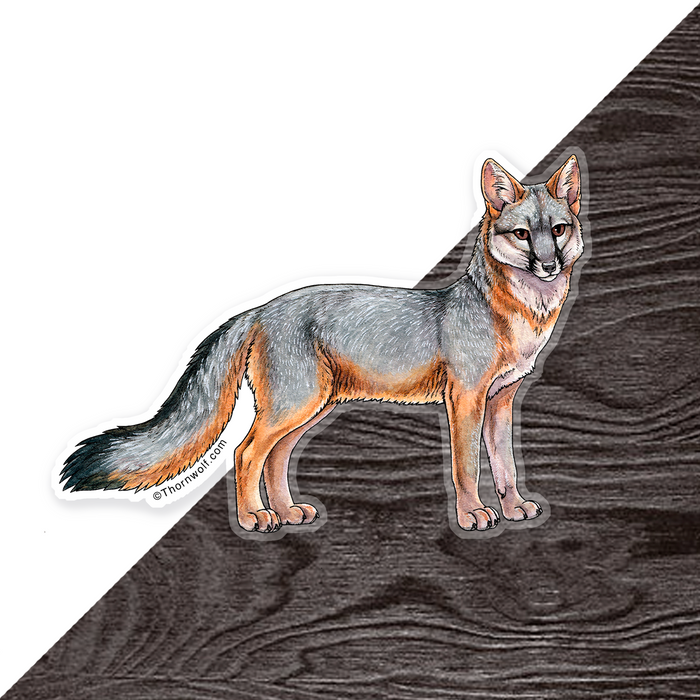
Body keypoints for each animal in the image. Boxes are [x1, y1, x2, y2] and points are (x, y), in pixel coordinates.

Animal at [60, 156, 584, 533]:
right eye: (522, 234)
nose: (549, 266)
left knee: (273, 460)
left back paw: (287, 513)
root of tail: (260, 309)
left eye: (558, 231)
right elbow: (467, 467)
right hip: (294, 406)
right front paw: (472, 514)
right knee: (245, 454)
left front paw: (514, 508)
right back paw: (253, 518)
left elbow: (506, 465)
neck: (515, 321)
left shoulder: (501, 401)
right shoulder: (466, 400)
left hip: (308, 409)